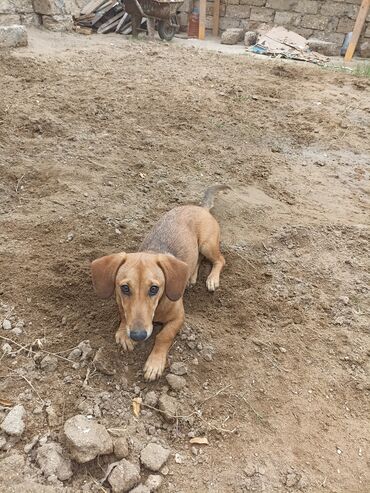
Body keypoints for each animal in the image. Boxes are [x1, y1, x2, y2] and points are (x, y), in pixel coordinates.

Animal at [90, 184, 228, 380]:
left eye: (154, 289)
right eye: (124, 288)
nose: (138, 335)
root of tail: (200, 208)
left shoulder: (179, 317)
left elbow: (164, 336)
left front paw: (154, 364)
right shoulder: (120, 302)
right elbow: (124, 314)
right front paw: (123, 333)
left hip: (208, 244)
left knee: (220, 260)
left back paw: (212, 279)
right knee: (198, 259)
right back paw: (191, 277)